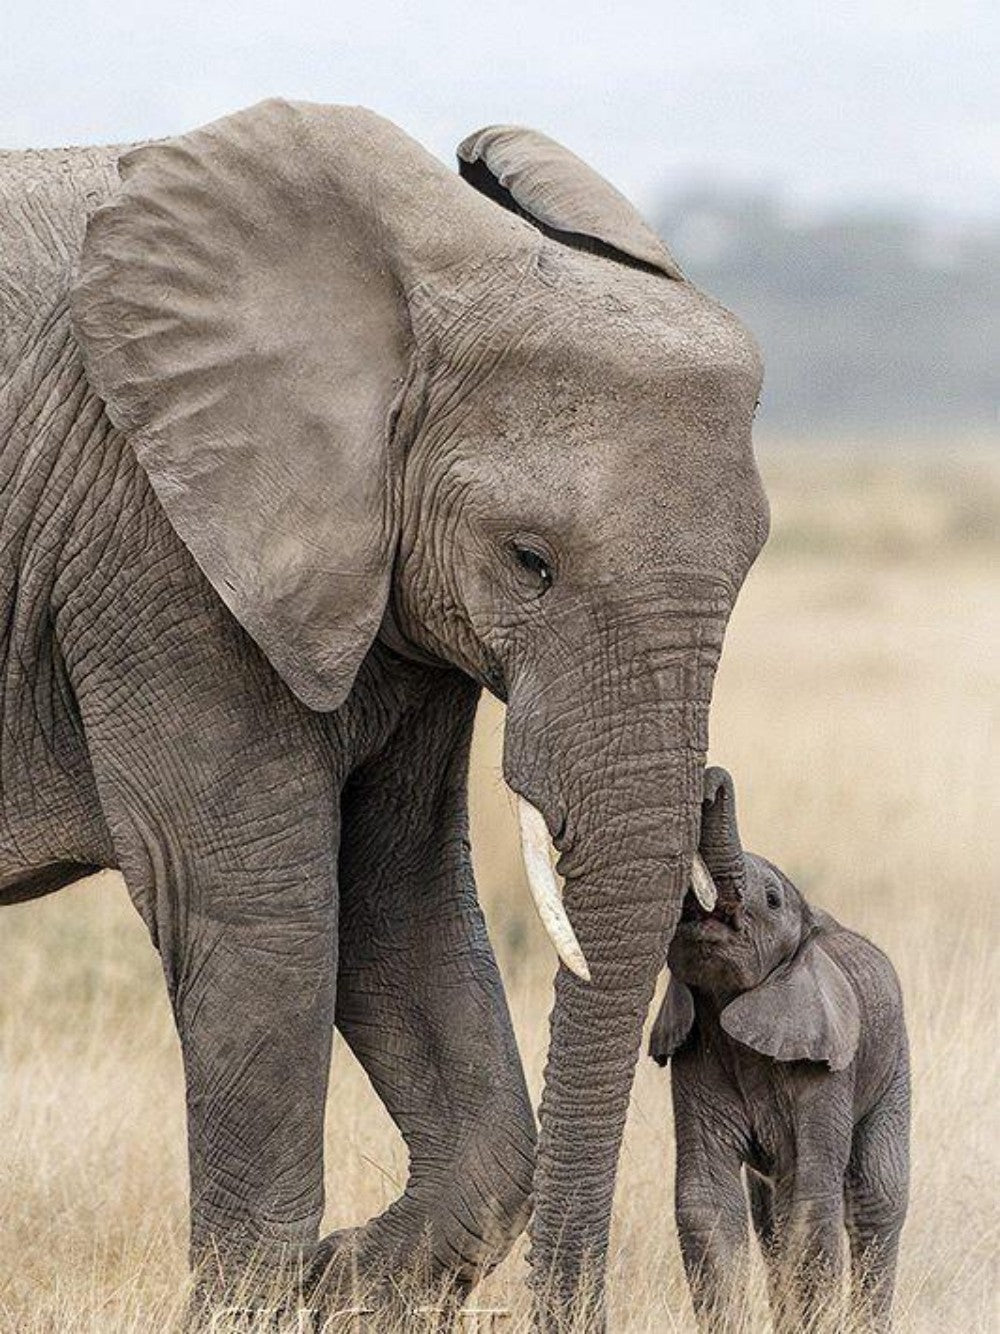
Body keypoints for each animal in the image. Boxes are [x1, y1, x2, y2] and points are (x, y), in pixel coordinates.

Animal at [0, 100, 768, 1328]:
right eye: (528, 560)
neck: (428, 269)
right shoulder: (154, 551)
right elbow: (266, 913)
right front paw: (265, 1299)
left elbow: (396, 894)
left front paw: (343, 1282)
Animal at [650, 768, 910, 1332]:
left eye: (771, 900)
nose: (712, 779)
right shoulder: (695, 1050)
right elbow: (708, 1202)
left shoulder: (826, 1066)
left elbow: (810, 1202)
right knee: (767, 1217)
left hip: (894, 1061)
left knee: (878, 1198)